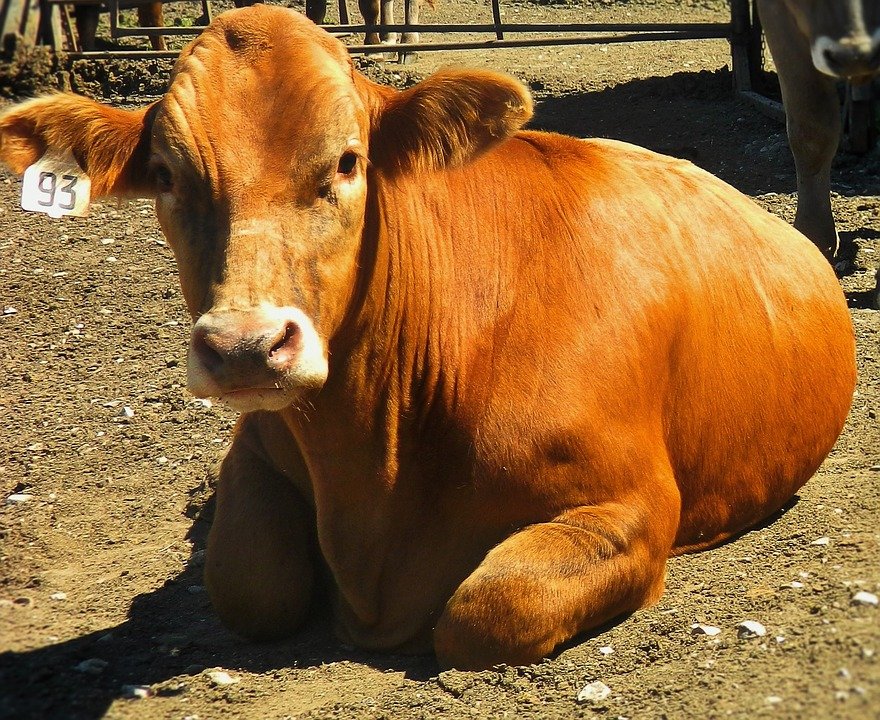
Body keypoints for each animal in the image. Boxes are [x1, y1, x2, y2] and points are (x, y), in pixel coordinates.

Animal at [0, 5, 856, 670]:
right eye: (169, 176)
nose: (245, 346)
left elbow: (486, 610)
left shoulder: (633, 503)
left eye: (348, 161)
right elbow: (247, 583)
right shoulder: (258, 446)